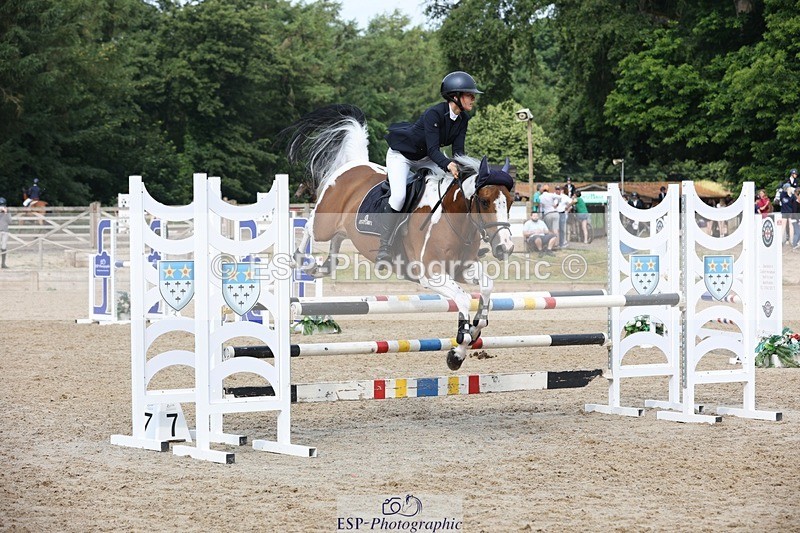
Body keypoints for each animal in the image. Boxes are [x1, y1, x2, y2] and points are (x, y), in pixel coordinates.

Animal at [285, 104, 515, 370]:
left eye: (511, 201)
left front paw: (471, 335)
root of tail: (355, 165)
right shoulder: (431, 275)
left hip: (341, 230)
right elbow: (464, 298)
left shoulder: (460, 269)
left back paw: (320, 268)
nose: (506, 247)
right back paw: (300, 259)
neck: (453, 216)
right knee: (309, 225)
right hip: (325, 222)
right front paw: (459, 347)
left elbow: (486, 286)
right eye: (485, 201)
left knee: (335, 243)